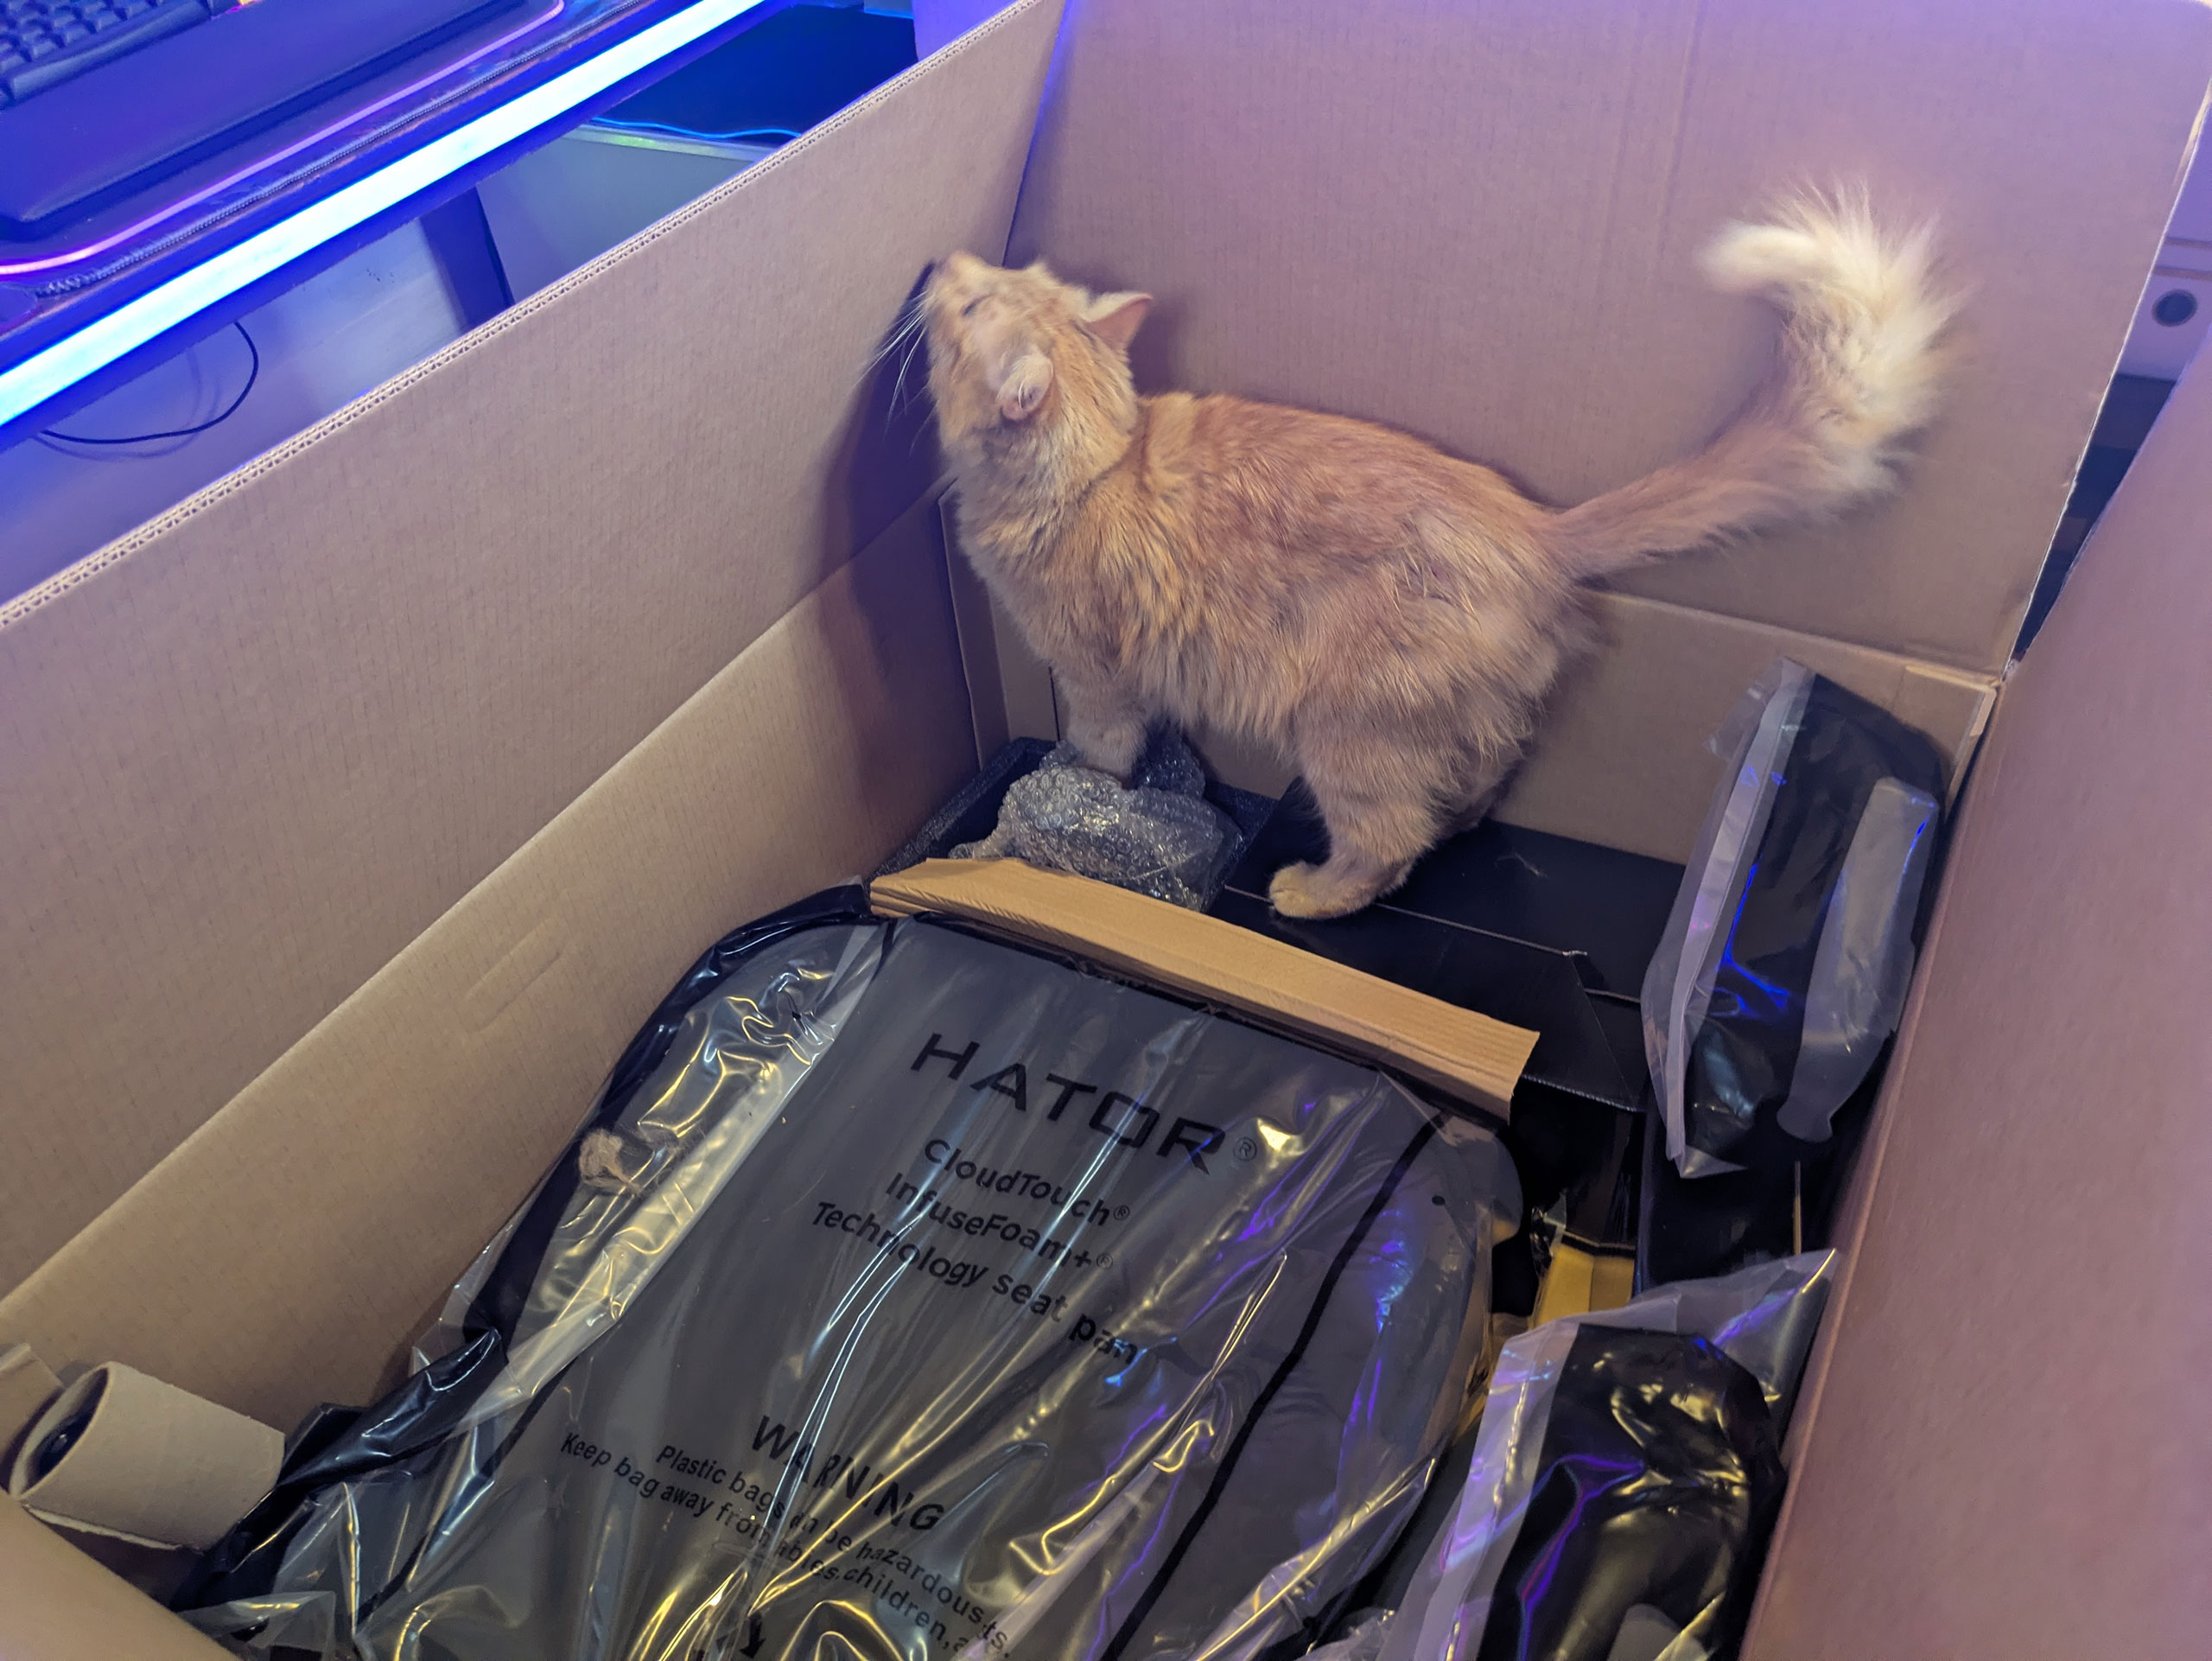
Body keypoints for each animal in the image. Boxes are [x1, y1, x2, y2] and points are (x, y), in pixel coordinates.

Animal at [921, 192, 1952, 918]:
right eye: (1001, 270)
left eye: (971, 302)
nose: (940, 257)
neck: (1103, 462)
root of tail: (1536, 525)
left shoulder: (1095, 674)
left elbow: (1101, 754)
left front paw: (1072, 787)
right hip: (1466, 726)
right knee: (1468, 798)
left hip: (1346, 734)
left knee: (1388, 843)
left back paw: (1310, 893)